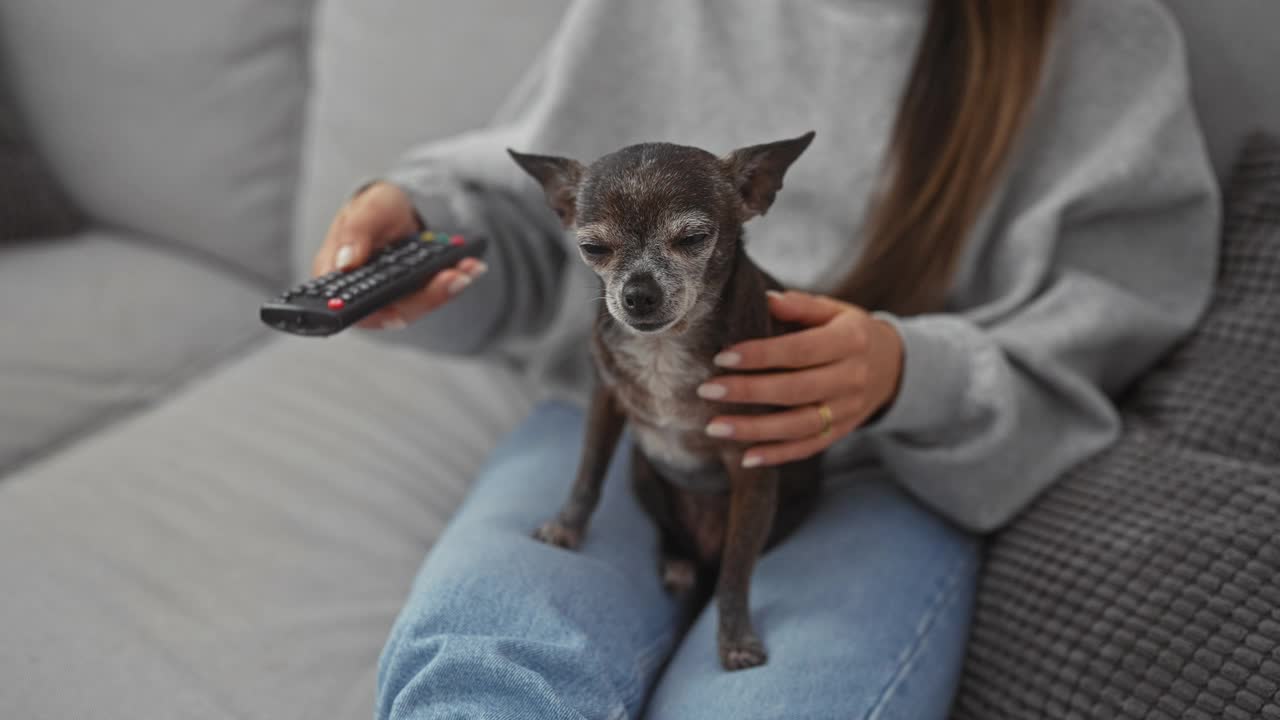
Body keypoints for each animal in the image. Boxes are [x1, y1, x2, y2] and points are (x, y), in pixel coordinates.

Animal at [506, 131, 819, 671]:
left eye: (692, 239)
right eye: (593, 248)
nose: (638, 293)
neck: (663, 349)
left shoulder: (753, 470)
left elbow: (737, 569)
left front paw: (734, 638)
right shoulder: (606, 402)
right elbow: (587, 475)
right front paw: (567, 527)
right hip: (643, 471)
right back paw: (677, 562)